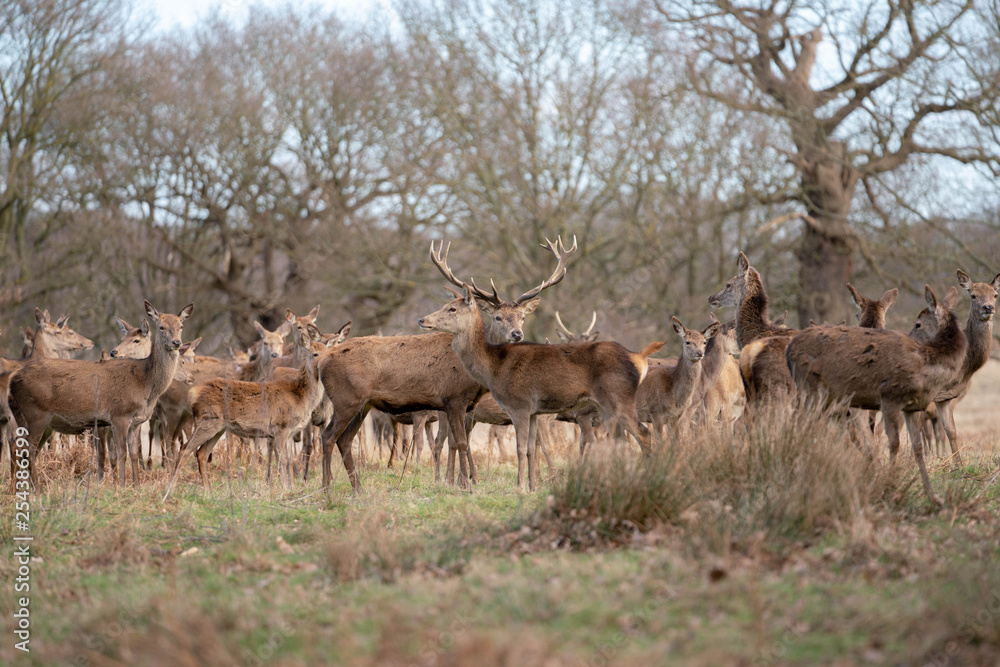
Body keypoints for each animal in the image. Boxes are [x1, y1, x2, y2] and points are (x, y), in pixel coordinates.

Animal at [8, 301, 193, 487]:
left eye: (181, 326)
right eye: (161, 326)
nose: (177, 342)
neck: (145, 384)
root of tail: (12, 380)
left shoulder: (136, 422)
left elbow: (134, 453)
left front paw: (136, 485)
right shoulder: (119, 415)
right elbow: (121, 454)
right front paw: (121, 486)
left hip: (38, 420)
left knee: (25, 449)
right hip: (35, 413)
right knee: (27, 449)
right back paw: (36, 489)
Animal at [163, 320, 326, 498]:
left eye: (329, 351)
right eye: (315, 354)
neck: (301, 396)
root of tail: (194, 394)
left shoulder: (290, 432)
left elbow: (290, 459)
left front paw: (292, 488)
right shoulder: (280, 427)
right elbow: (283, 459)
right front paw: (285, 488)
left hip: (218, 427)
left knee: (201, 453)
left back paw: (208, 491)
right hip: (206, 422)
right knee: (185, 449)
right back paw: (171, 488)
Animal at [418, 283, 662, 491]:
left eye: (451, 308)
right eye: (498, 317)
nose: (422, 319)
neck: (494, 368)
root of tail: (639, 358)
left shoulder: (519, 405)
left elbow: (521, 447)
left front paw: (519, 486)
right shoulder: (535, 412)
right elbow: (531, 449)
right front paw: (533, 486)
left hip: (619, 398)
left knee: (643, 433)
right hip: (605, 406)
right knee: (620, 440)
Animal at [785, 285, 967, 505]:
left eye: (918, 324)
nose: (909, 336)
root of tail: (789, 348)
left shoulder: (912, 407)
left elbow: (917, 447)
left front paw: (933, 496)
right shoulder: (889, 397)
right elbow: (893, 443)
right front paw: (888, 488)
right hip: (810, 390)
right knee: (802, 427)